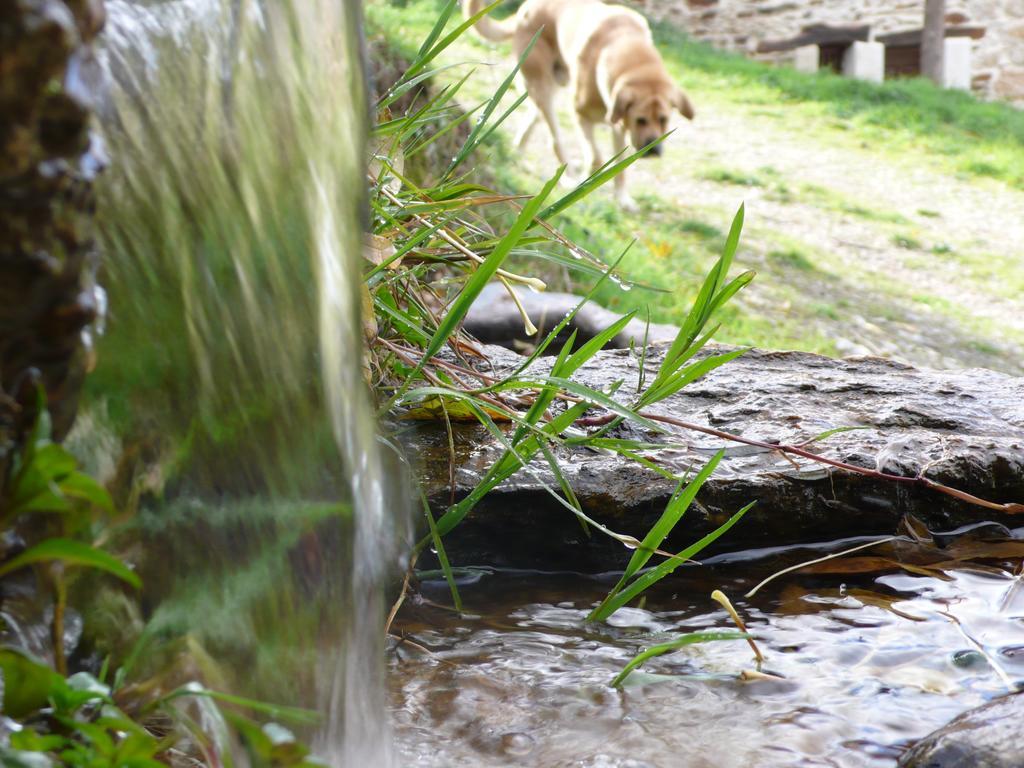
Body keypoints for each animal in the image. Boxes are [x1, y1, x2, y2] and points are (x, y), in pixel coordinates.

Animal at [466, 0, 696, 207]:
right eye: (641, 119)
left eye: (664, 119)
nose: (653, 150)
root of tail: (526, 8)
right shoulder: (581, 115)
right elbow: (596, 156)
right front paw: (588, 180)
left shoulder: (620, 124)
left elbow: (620, 166)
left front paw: (622, 198)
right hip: (542, 86)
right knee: (555, 136)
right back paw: (566, 176)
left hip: (551, 84)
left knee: (533, 116)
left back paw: (519, 152)